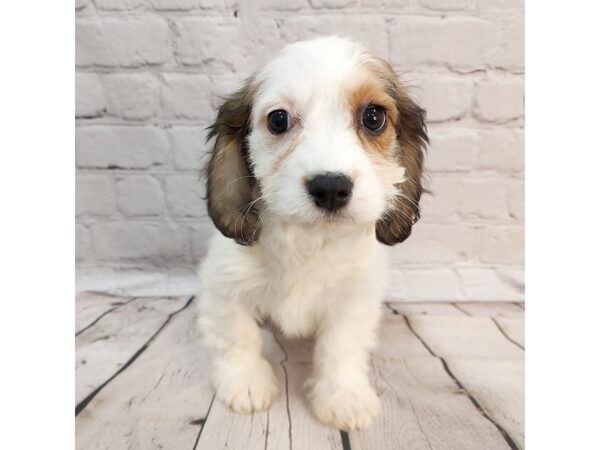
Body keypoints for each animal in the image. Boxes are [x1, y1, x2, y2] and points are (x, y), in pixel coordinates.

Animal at [197, 37, 426, 430]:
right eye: (278, 120)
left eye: (373, 117)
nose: (331, 187)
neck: (308, 239)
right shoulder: (224, 285)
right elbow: (237, 336)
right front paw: (245, 383)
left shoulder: (355, 298)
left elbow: (341, 346)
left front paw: (343, 395)